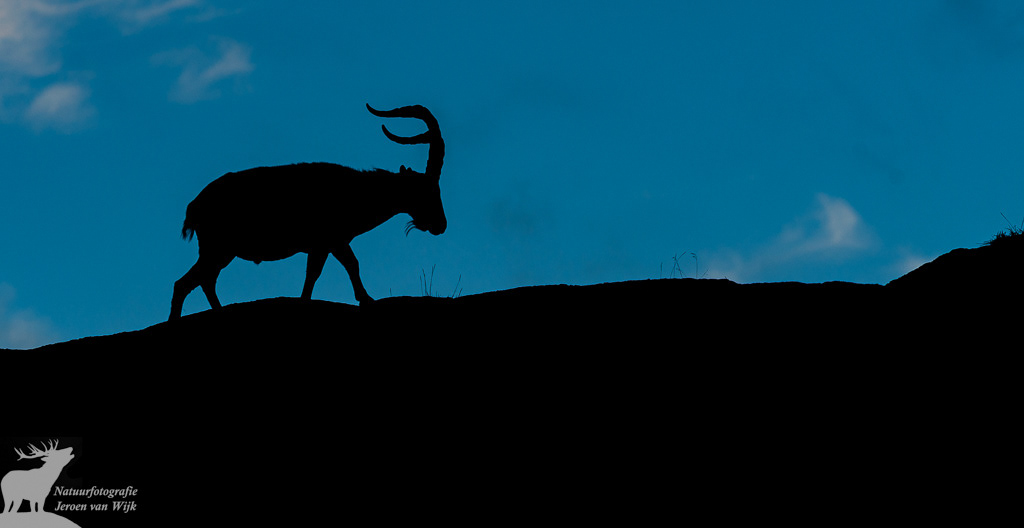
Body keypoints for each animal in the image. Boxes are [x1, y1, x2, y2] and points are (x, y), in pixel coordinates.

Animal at [169, 104, 446, 320]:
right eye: (427, 191)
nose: (440, 225)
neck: (357, 191)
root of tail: (194, 206)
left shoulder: (324, 245)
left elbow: (322, 272)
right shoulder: (331, 240)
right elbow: (344, 266)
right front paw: (365, 299)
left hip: (219, 252)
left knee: (203, 281)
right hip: (217, 249)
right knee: (185, 283)